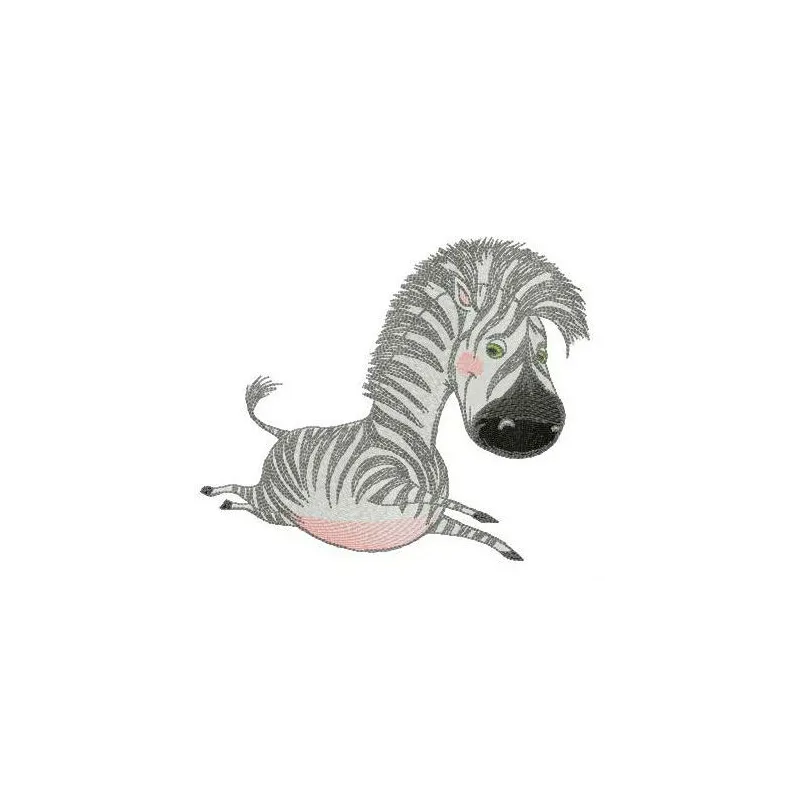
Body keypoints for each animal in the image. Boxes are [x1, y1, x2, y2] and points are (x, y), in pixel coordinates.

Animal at [201, 239, 588, 560]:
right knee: (246, 494)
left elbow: (468, 526)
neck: (412, 434)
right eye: (494, 349)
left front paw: (504, 544)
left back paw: (222, 499)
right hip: (273, 503)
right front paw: (483, 514)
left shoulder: (430, 521)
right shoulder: (377, 490)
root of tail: (285, 434)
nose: (529, 432)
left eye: (544, 354)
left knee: (248, 496)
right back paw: (214, 492)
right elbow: (435, 497)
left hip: (276, 511)